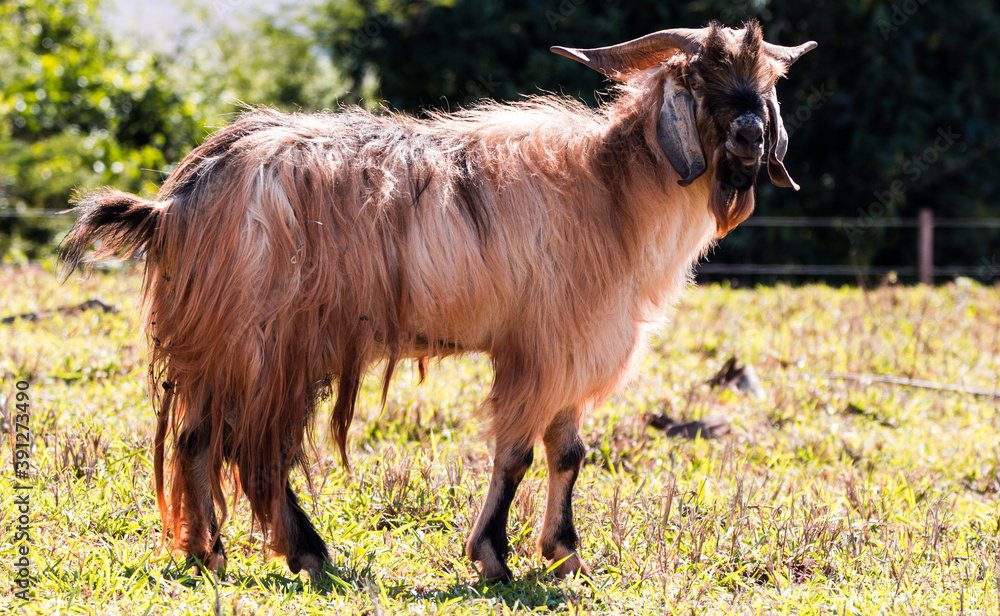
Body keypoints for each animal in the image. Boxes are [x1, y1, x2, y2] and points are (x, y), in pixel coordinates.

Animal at [58, 22, 812, 584]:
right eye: (700, 80)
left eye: (764, 85)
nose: (750, 135)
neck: (612, 193)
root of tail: (176, 201)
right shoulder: (543, 347)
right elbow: (516, 454)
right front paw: (494, 558)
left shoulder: (570, 349)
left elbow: (569, 453)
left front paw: (565, 554)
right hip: (265, 342)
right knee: (251, 450)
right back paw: (305, 552)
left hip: (229, 347)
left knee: (197, 438)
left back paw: (207, 552)